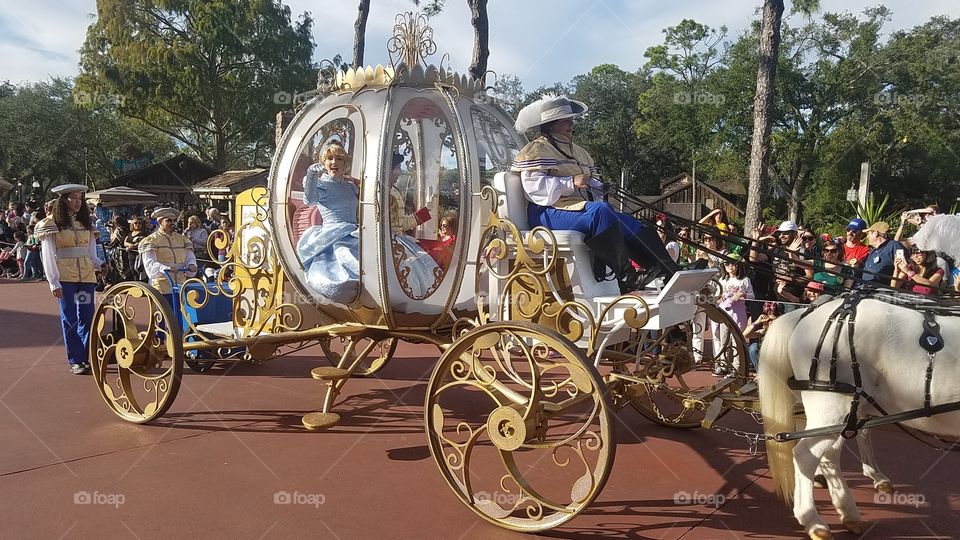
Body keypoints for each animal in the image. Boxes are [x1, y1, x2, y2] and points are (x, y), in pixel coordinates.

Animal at [756, 298, 960, 536]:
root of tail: (806, 313)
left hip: (844, 411)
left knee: (829, 454)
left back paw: (848, 512)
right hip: (831, 407)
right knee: (806, 454)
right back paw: (812, 520)